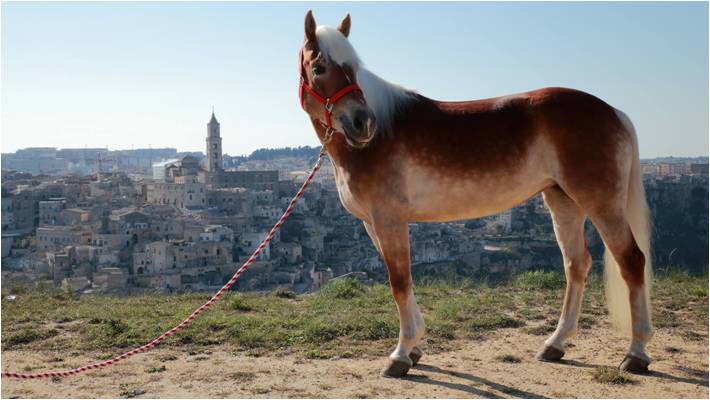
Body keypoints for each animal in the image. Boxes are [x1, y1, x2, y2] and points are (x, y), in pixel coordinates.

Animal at [298, 10, 652, 378]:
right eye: (320, 67)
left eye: (353, 67)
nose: (362, 122)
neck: (381, 136)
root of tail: (614, 112)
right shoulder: (372, 223)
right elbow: (401, 281)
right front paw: (416, 349)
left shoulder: (389, 219)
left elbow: (399, 281)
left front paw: (400, 354)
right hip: (563, 201)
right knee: (576, 264)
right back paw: (555, 344)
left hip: (602, 203)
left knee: (631, 260)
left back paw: (636, 353)